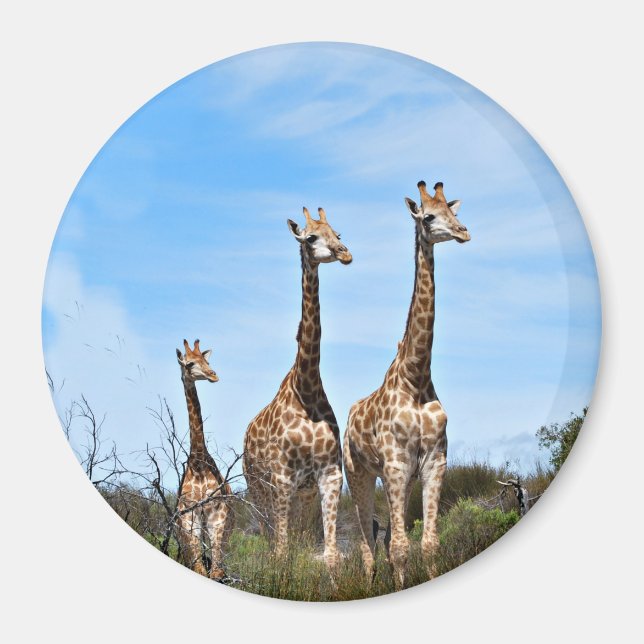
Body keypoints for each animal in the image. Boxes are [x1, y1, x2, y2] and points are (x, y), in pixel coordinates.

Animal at [243, 206, 352, 571]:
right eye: (310, 237)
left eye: (338, 233)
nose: (344, 253)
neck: (307, 388)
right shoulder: (281, 476)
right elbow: (281, 555)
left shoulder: (329, 473)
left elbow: (330, 556)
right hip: (256, 486)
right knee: (270, 536)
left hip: (302, 494)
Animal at [343, 181, 470, 588]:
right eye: (428, 216)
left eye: (454, 210)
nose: (464, 232)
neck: (416, 377)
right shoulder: (396, 462)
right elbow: (400, 547)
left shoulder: (433, 461)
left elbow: (428, 544)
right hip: (360, 473)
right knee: (367, 541)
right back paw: (368, 583)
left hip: (398, 477)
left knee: (381, 539)